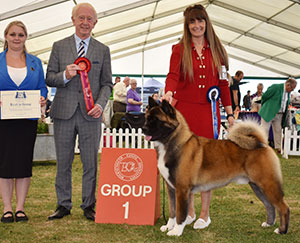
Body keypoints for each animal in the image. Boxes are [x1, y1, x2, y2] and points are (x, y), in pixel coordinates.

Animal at [142, 98, 290, 236]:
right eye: (147, 118)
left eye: (156, 120)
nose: (143, 129)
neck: (174, 143)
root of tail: (263, 144)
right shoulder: (171, 188)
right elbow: (172, 211)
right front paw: (169, 226)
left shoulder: (182, 189)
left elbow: (180, 213)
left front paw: (176, 231)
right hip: (257, 186)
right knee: (270, 206)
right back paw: (269, 224)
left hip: (268, 184)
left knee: (283, 207)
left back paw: (281, 230)